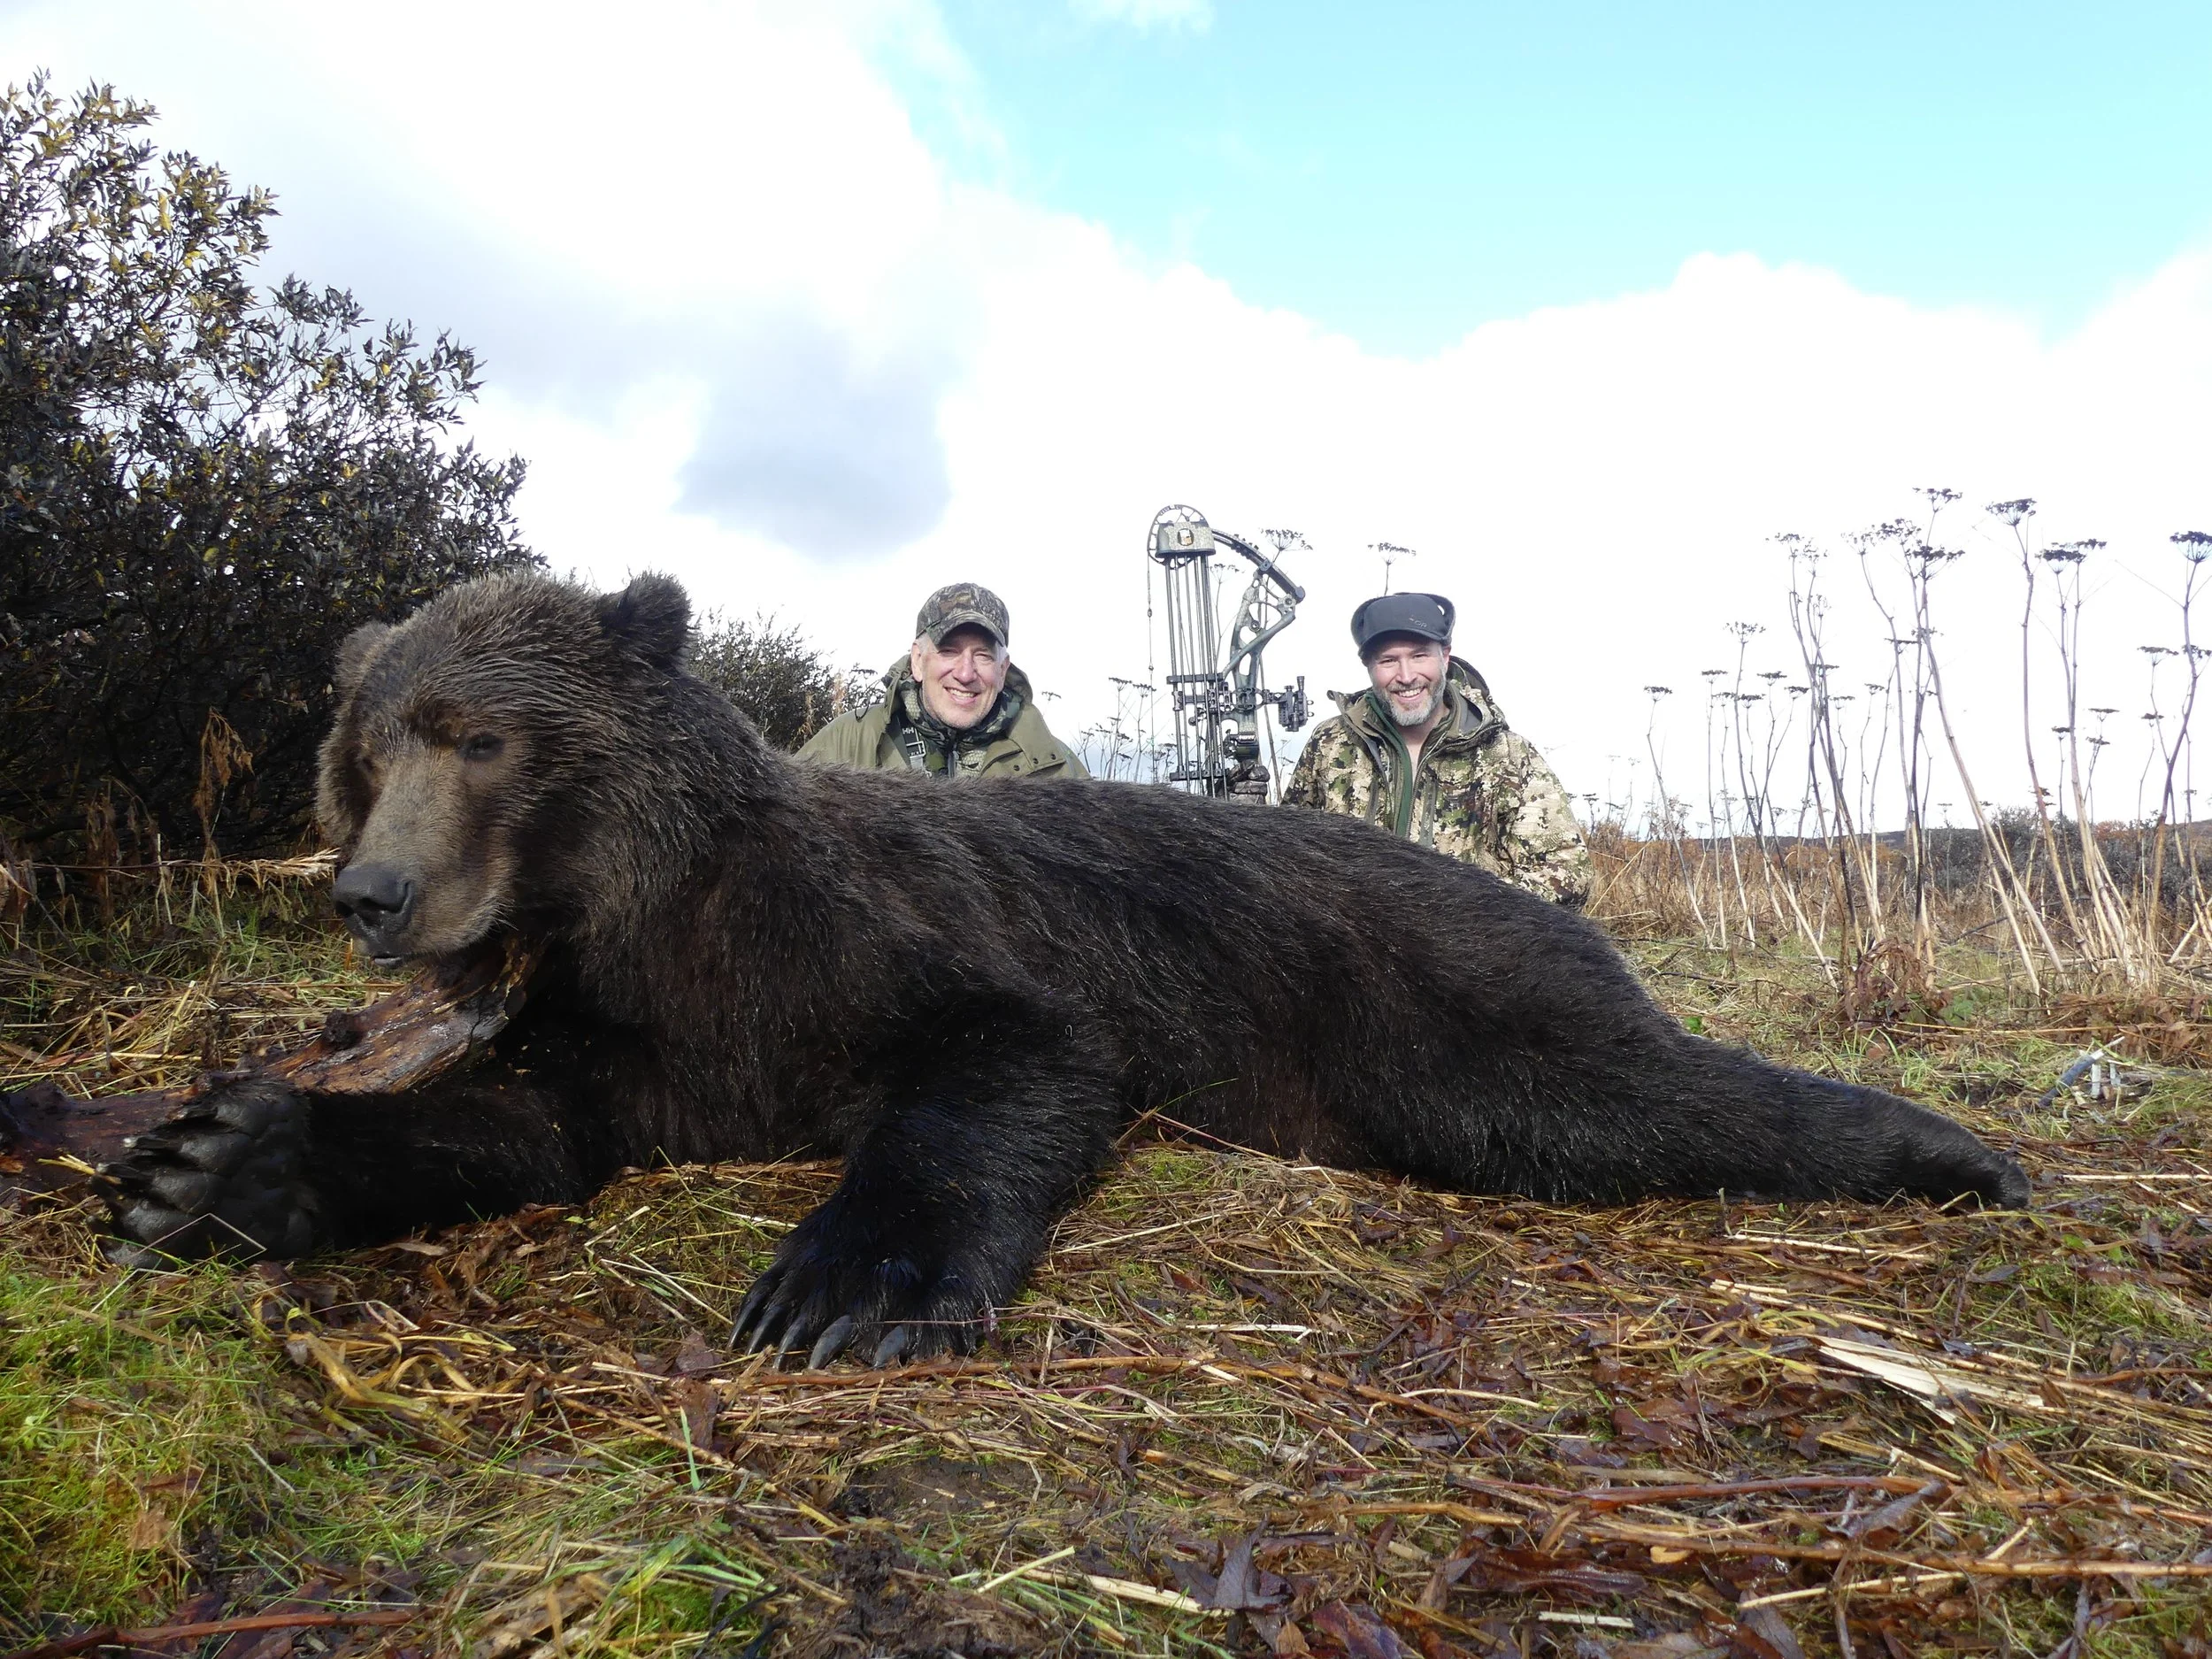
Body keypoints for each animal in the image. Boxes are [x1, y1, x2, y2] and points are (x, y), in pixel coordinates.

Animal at [102, 572, 2029, 1369]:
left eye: (481, 737)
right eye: (365, 747)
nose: (371, 891)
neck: (675, 921)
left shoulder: (899, 944)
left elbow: (1014, 1055)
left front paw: (847, 1282)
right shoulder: (633, 1035)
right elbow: (527, 1123)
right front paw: (212, 1162)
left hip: (1433, 1000)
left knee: (1609, 1097)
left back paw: (1950, 1147)